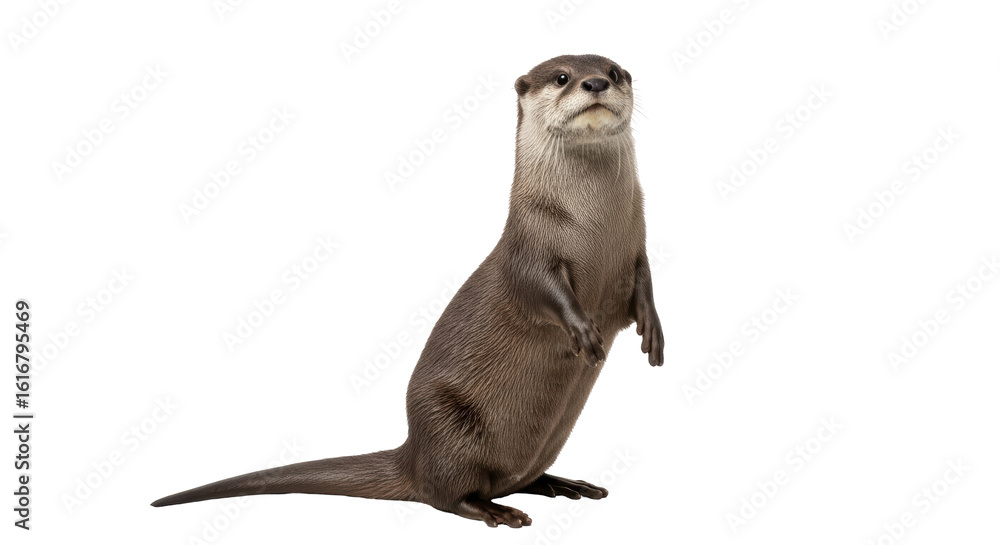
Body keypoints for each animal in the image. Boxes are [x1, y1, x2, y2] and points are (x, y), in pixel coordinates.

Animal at [152, 54, 664, 528]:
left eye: (614, 72)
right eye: (561, 77)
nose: (594, 83)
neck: (592, 228)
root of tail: (412, 454)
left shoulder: (636, 249)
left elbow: (645, 286)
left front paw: (653, 330)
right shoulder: (530, 253)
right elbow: (545, 292)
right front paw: (584, 332)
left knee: (514, 479)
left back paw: (562, 483)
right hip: (448, 426)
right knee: (446, 495)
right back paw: (495, 510)